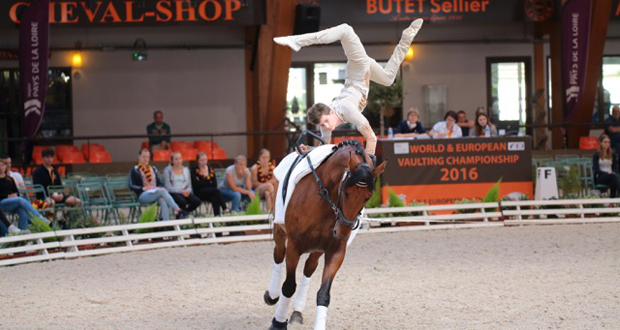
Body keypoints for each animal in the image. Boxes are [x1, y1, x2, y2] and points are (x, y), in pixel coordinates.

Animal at [264, 139, 386, 330]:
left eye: (367, 197)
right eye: (346, 192)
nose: (342, 232)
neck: (325, 201)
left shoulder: (336, 251)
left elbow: (324, 294)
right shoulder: (294, 246)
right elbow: (289, 286)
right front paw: (278, 322)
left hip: (317, 249)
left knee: (309, 268)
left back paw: (297, 311)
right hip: (280, 231)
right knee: (278, 255)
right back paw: (272, 295)